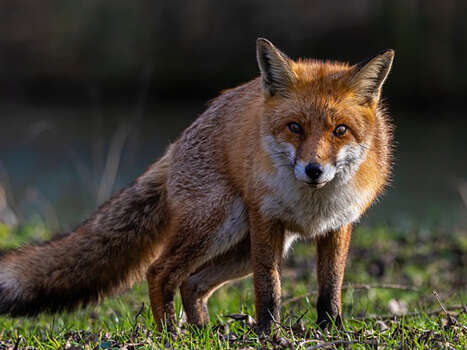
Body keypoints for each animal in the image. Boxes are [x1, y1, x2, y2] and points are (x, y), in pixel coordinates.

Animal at [0, 38, 394, 334]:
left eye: (340, 130)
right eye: (295, 127)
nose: (314, 170)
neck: (311, 204)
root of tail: (176, 144)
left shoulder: (338, 225)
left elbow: (331, 287)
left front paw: (332, 329)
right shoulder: (266, 220)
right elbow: (269, 289)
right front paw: (269, 333)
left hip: (241, 247)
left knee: (192, 283)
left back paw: (202, 330)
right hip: (219, 226)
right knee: (160, 272)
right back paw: (169, 334)